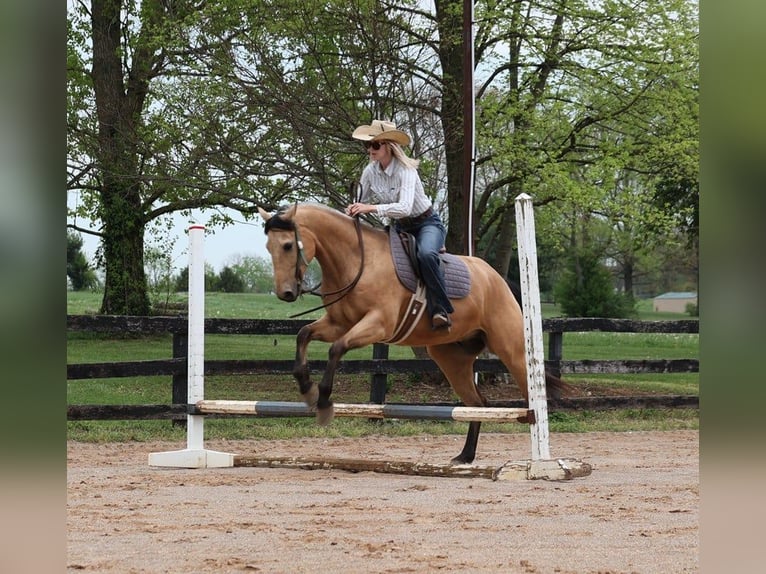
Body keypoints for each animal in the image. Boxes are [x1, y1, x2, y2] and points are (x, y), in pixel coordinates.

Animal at [260, 202, 568, 464]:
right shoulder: (338, 323)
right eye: (268, 247)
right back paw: (465, 456)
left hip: (512, 350)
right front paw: (305, 387)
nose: (285, 293)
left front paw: (323, 400)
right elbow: (303, 334)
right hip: (450, 359)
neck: (357, 261)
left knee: (530, 397)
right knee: (477, 403)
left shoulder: (376, 325)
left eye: (288, 245)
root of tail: (497, 279)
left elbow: (336, 348)